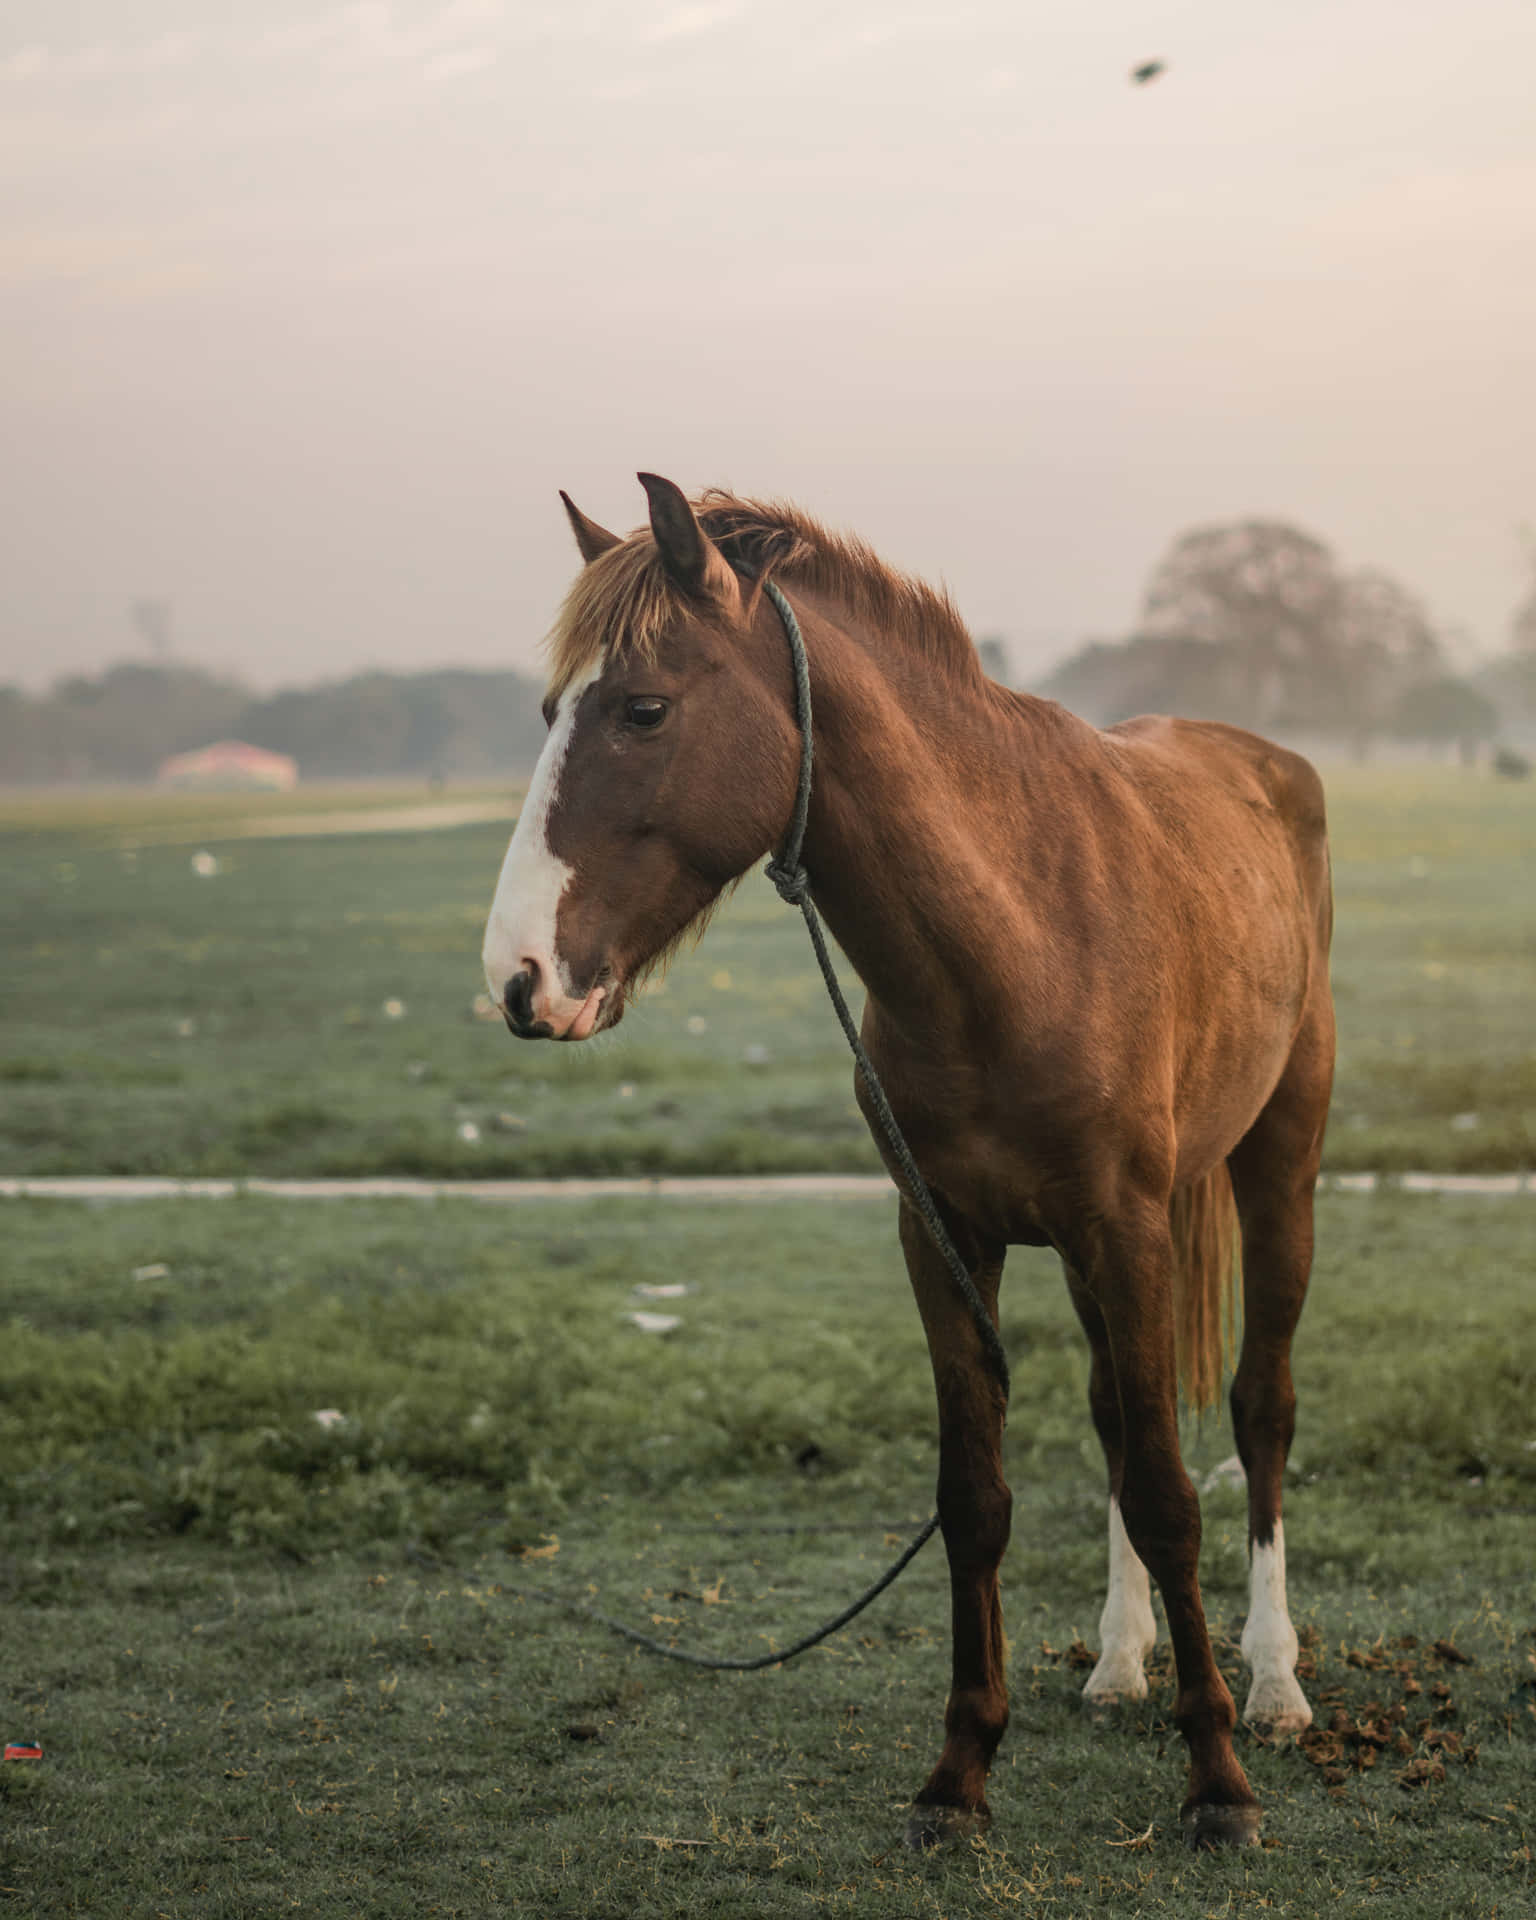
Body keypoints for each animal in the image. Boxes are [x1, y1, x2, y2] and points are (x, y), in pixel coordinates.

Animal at [481, 474, 1335, 1851]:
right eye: (555, 711)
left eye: (644, 709)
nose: (519, 980)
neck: (1017, 937)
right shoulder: (946, 1239)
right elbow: (979, 1496)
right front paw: (960, 1773)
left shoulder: (1127, 1228)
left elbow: (1168, 1491)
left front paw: (1216, 1783)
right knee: (1116, 1414)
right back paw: (1119, 1662)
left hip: (1277, 1172)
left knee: (1259, 1409)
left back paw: (1271, 1683)